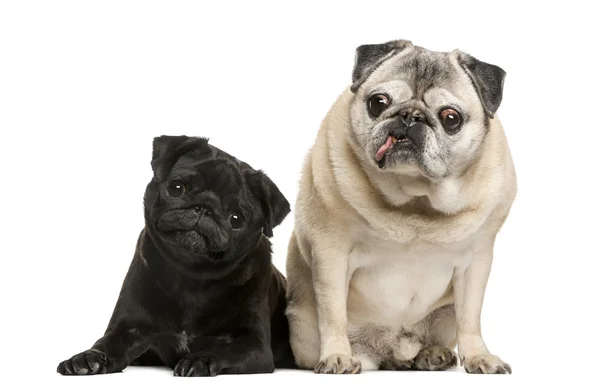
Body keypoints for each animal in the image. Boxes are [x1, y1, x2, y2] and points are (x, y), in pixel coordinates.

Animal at [55, 137, 294, 376]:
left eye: (236, 219)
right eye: (177, 188)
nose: (204, 208)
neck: (190, 275)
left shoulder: (254, 347)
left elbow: (224, 350)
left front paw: (201, 360)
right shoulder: (127, 328)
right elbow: (106, 344)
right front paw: (88, 357)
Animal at [286, 39, 516, 376]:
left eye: (451, 118)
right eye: (378, 103)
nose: (410, 116)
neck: (416, 200)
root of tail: (392, 351)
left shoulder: (477, 262)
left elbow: (471, 318)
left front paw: (478, 356)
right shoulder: (331, 254)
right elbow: (333, 313)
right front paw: (337, 355)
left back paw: (432, 355)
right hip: (304, 328)